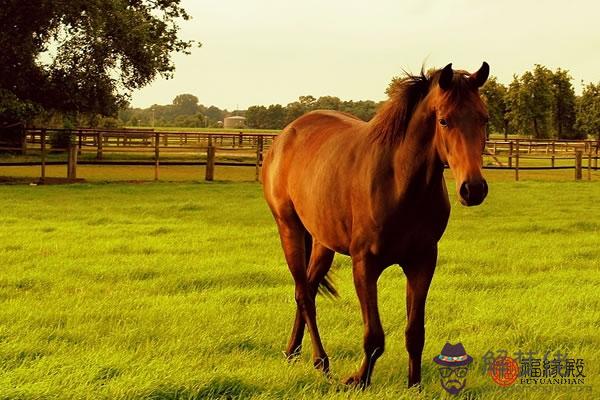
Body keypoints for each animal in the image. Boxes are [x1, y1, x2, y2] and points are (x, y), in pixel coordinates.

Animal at [262, 62, 488, 388]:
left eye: (484, 118)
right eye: (444, 120)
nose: (473, 189)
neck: (399, 182)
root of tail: (284, 136)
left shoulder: (422, 262)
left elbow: (414, 332)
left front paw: (414, 384)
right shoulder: (365, 264)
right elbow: (374, 336)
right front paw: (359, 380)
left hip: (322, 243)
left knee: (307, 289)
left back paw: (293, 351)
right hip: (288, 228)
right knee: (304, 294)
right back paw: (321, 362)